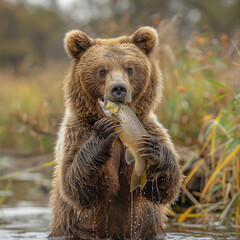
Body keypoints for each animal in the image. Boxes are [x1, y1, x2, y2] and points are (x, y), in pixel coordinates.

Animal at [49, 26, 182, 240]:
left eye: (130, 68)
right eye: (102, 70)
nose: (118, 88)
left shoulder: (150, 126)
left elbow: (164, 188)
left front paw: (155, 150)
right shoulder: (77, 133)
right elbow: (76, 184)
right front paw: (103, 133)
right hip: (72, 228)